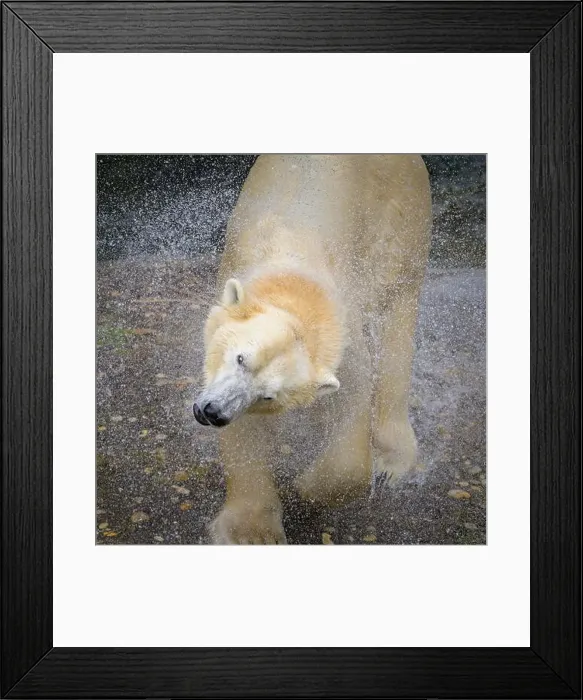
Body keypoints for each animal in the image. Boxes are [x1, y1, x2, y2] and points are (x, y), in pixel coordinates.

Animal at [193, 154, 432, 544]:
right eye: (240, 358)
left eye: (269, 395)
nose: (213, 413)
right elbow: (247, 432)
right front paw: (252, 533)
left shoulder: (341, 339)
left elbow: (351, 406)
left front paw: (303, 489)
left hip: (403, 214)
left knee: (397, 310)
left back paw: (391, 461)